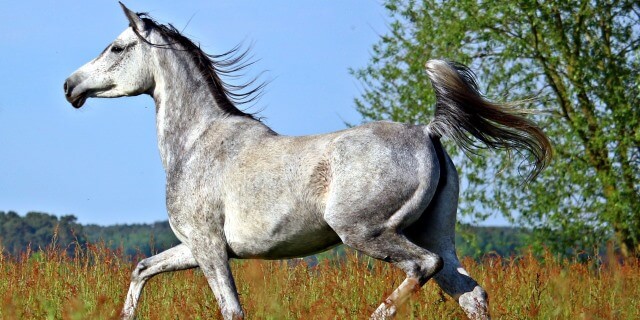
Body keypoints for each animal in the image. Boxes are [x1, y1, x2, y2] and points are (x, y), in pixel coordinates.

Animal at [65, 3, 552, 320]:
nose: (70, 86)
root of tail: (427, 132)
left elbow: (231, 309)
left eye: (116, 48)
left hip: (366, 232)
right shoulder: (196, 247)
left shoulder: (208, 247)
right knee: (471, 294)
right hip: (436, 234)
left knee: (422, 267)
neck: (197, 141)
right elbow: (142, 270)